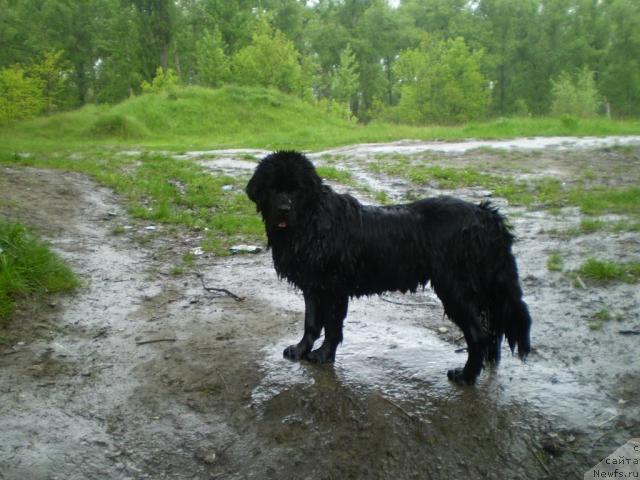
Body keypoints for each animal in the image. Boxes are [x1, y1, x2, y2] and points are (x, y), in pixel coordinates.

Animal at [245, 152, 528, 384]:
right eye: (272, 188)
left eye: (296, 190)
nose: (283, 209)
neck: (311, 224)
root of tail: (486, 216)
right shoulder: (313, 286)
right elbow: (311, 323)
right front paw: (300, 349)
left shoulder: (334, 288)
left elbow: (333, 327)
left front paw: (323, 355)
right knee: (492, 329)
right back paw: (486, 364)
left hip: (455, 288)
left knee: (478, 334)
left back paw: (466, 376)